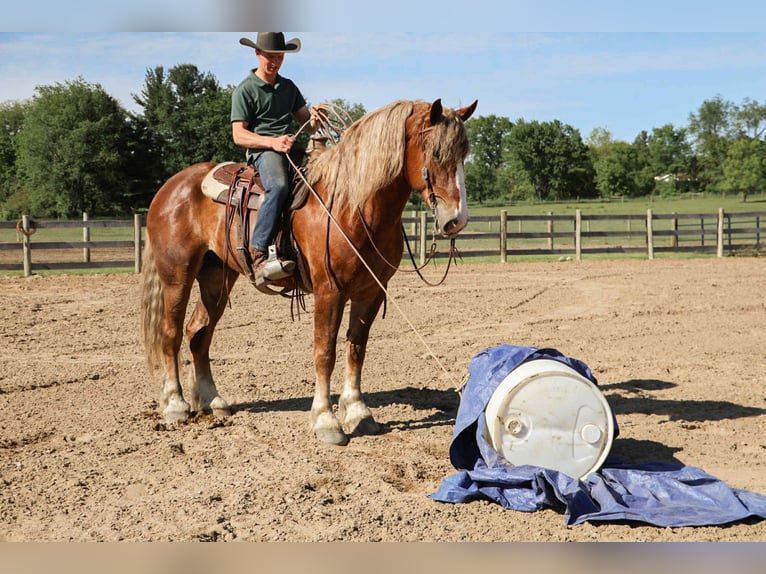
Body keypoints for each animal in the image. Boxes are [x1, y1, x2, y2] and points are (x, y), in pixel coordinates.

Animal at [140, 98, 477, 445]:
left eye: (463, 156)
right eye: (435, 154)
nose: (457, 219)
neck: (351, 204)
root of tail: (171, 186)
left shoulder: (371, 291)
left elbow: (357, 348)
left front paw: (358, 412)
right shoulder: (329, 290)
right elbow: (325, 351)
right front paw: (326, 421)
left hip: (216, 277)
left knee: (199, 332)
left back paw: (212, 400)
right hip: (177, 275)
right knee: (171, 332)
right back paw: (176, 404)